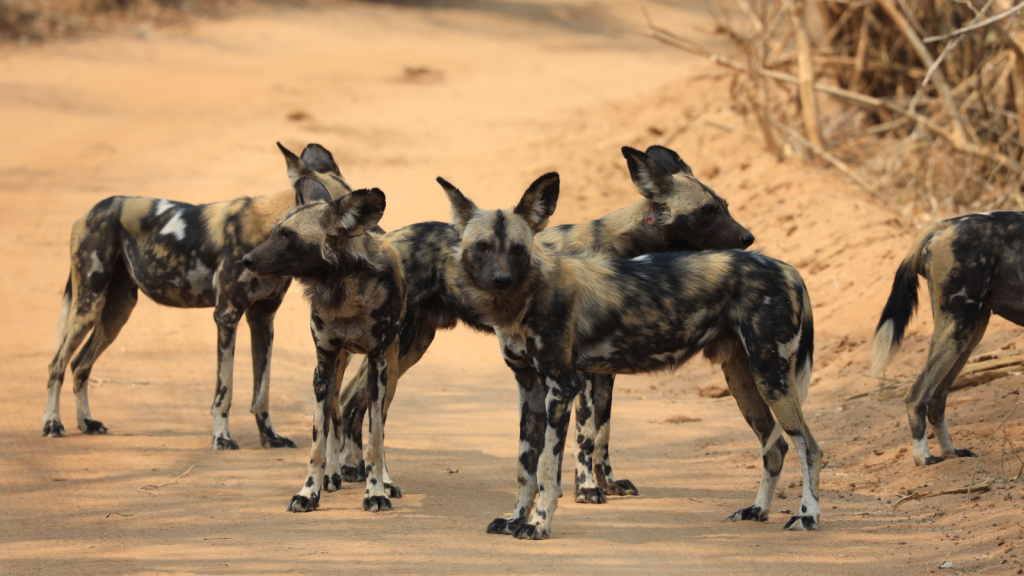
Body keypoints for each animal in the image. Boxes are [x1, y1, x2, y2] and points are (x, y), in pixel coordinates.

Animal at [43, 142, 352, 448]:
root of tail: (96, 208)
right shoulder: (226, 317)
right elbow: (224, 390)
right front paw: (222, 437)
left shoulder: (263, 320)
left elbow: (261, 392)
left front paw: (269, 437)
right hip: (88, 306)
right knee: (57, 364)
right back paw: (52, 423)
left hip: (116, 314)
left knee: (79, 365)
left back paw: (86, 422)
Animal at [242, 177, 403, 508]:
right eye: (274, 231)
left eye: (288, 236)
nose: (246, 260)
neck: (341, 289)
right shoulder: (324, 362)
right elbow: (318, 438)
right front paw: (308, 492)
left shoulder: (378, 364)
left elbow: (375, 440)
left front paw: (376, 492)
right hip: (335, 368)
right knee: (334, 415)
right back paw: (332, 475)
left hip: (390, 373)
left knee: (377, 430)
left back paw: (386, 481)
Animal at [327, 145, 753, 500]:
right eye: (708, 212)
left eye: (726, 206)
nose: (748, 238)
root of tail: (386, 239)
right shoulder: (582, 372)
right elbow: (585, 435)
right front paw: (586, 488)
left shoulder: (605, 371)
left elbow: (603, 433)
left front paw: (608, 482)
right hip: (398, 348)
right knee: (366, 409)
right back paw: (376, 481)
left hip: (411, 347)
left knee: (350, 403)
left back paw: (355, 472)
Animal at [440, 171, 815, 537]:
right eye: (482, 247)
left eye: (518, 249)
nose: (501, 280)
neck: (528, 294)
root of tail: (788, 269)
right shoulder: (529, 388)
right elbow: (525, 467)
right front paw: (515, 519)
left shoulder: (562, 386)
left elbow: (549, 466)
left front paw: (538, 524)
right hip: (744, 382)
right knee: (776, 446)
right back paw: (758, 510)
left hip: (772, 378)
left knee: (809, 447)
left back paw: (807, 516)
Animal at [868, 211, 1024, 467]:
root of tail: (942, 226)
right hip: (958, 329)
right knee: (916, 396)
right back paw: (924, 457)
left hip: (968, 334)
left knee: (936, 400)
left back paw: (951, 451)